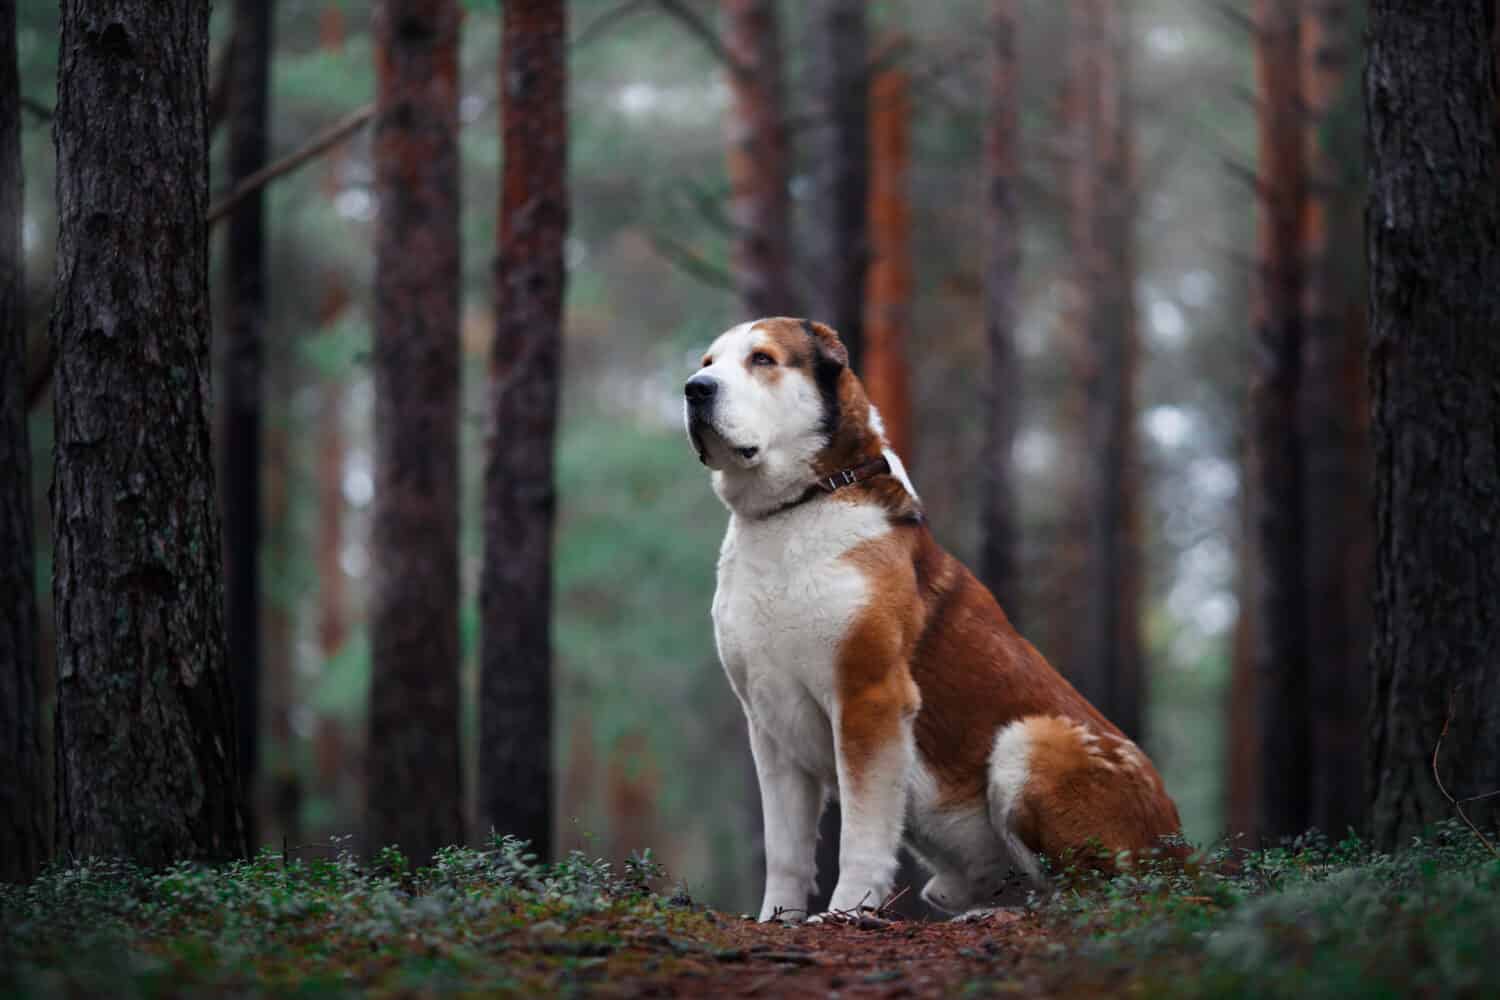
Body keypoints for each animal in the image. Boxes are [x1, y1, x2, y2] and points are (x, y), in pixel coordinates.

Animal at [687, 316, 1188, 917]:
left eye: (762, 359)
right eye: (709, 363)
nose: (695, 388)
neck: (798, 508)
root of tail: (1185, 856)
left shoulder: (869, 697)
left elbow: (862, 833)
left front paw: (845, 913)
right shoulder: (769, 725)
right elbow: (785, 851)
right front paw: (778, 921)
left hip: (1030, 741)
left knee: (1094, 897)